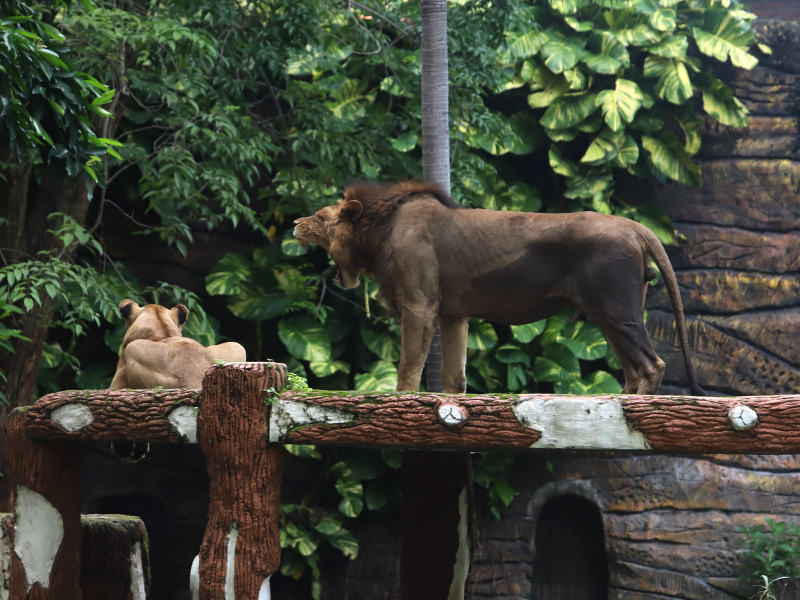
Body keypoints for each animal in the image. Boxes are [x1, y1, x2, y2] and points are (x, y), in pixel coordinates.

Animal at [296, 179, 704, 394]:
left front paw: (403, 401)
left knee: (650, 365)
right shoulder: (453, 314)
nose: (296, 223)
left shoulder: (419, 306)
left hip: (614, 307)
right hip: (612, 312)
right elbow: (454, 374)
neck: (380, 230)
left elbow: (408, 365)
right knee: (633, 367)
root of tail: (635, 225)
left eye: (319, 216)